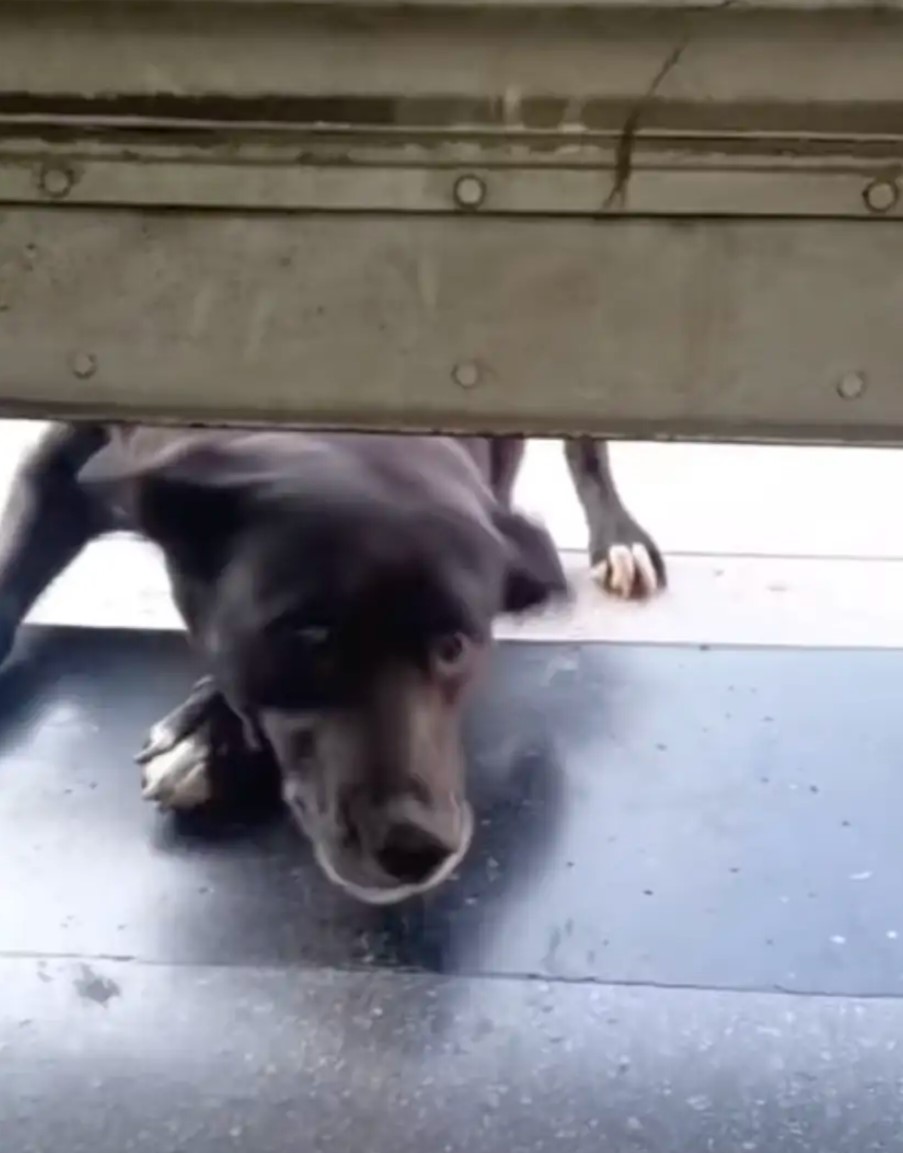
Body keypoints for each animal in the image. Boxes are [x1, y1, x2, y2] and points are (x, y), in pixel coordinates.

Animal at [0, 424, 664, 899]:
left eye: (456, 646)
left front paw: (207, 731)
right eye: (308, 635)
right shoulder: (69, 458)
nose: (418, 848)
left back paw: (618, 535)